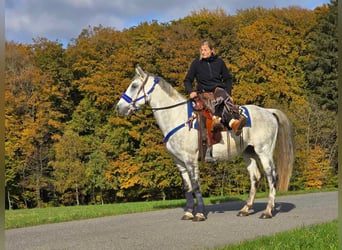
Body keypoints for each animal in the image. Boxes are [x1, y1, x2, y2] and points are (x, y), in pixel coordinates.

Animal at [115, 66, 294, 221]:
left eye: (134, 85)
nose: (119, 108)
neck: (178, 117)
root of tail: (268, 112)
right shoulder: (179, 162)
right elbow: (187, 187)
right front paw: (188, 212)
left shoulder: (190, 160)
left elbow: (196, 185)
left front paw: (200, 213)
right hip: (248, 153)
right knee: (255, 177)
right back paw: (245, 209)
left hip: (264, 152)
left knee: (272, 176)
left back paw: (268, 211)